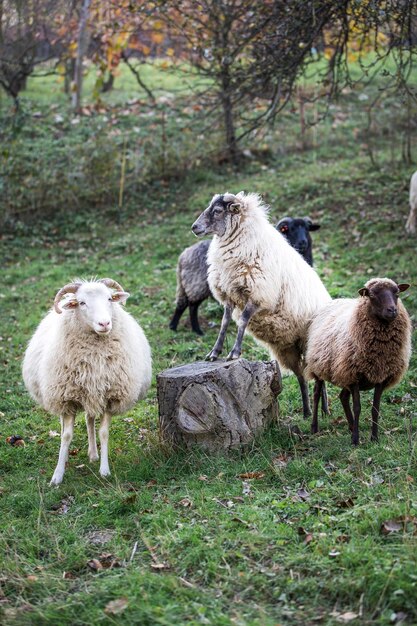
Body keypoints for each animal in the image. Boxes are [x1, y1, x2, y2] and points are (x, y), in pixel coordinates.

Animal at [22, 276, 152, 486]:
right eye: (81, 302)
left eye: (109, 298)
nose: (104, 323)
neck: (95, 358)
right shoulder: (67, 398)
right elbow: (66, 435)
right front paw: (57, 475)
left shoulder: (109, 396)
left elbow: (104, 433)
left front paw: (105, 470)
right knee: (66, 424)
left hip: (91, 394)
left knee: (89, 419)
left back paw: (93, 454)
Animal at [190, 190, 330, 414]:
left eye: (218, 210)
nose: (194, 227)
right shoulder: (229, 294)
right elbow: (224, 323)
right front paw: (214, 353)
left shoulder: (258, 294)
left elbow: (242, 321)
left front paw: (234, 353)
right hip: (287, 348)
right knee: (302, 376)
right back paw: (308, 412)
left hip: (311, 343)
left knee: (319, 379)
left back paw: (323, 411)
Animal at [304, 278, 412, 444]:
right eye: (371, 295)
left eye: (398, 293)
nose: (392, 310)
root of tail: (333, 301)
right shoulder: (354, 375)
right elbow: (357, 408)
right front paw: (355, 440)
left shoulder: (380, 376)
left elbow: (375, 408)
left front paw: (374, 438)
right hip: (319, 367)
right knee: (316, 395)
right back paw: (314, 427)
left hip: (343, 373)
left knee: (343, 397)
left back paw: (350, 426)